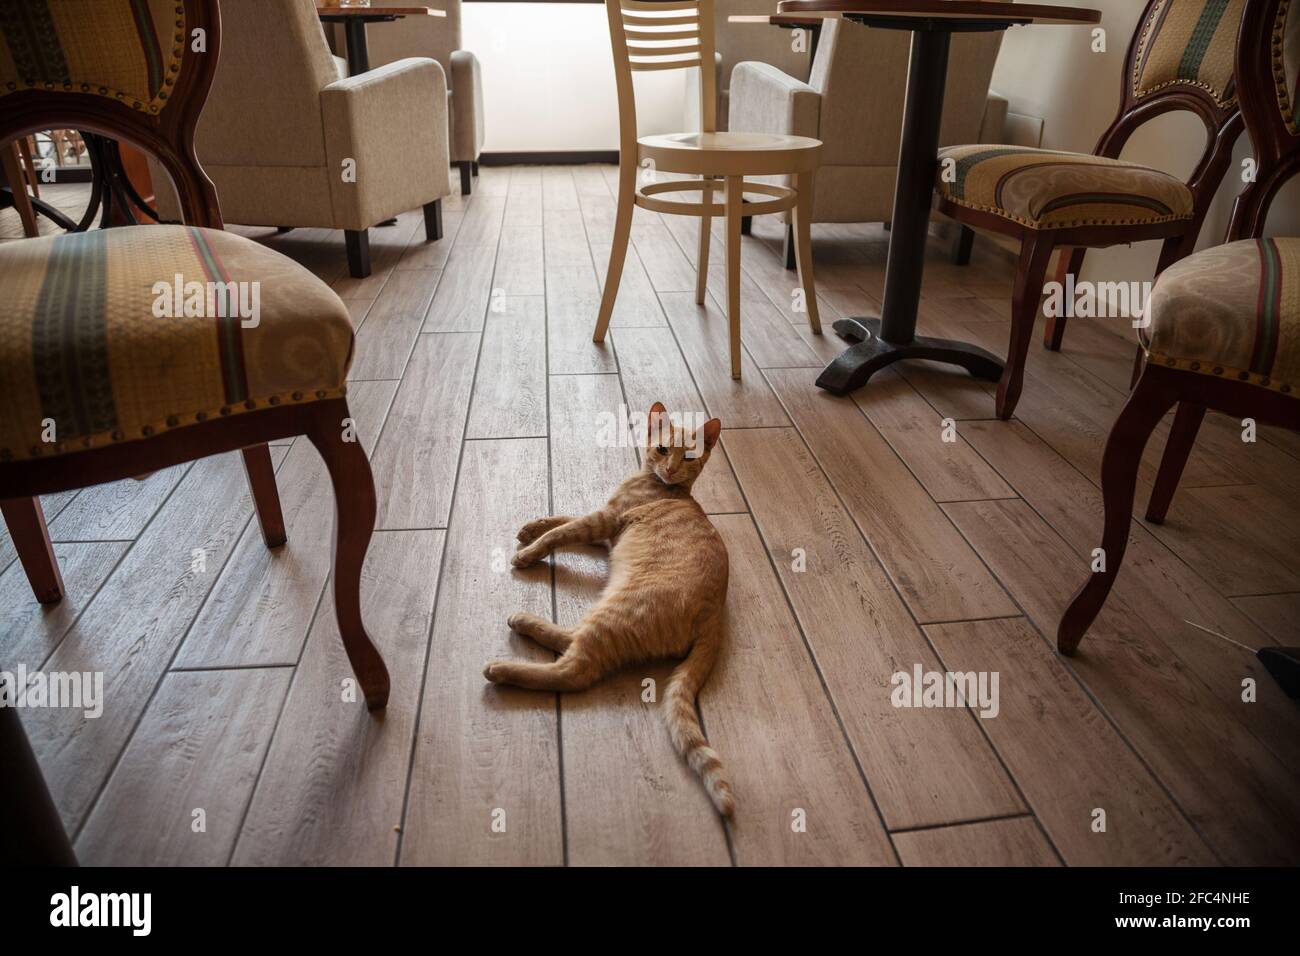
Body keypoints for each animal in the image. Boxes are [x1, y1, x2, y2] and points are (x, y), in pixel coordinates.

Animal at [486, 403, 738, 816]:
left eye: (688, 457)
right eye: (663, 449)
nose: (670, 469)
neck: (664, 487)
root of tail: (716, 614)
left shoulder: (602, 520)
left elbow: (560, 533)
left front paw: (528, 552)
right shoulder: (602, 520)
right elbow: (562, 516)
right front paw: (531, 527)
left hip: (617, 610)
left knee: (574, 670)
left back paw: (505, 661)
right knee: (571, 641)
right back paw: (525, 624)